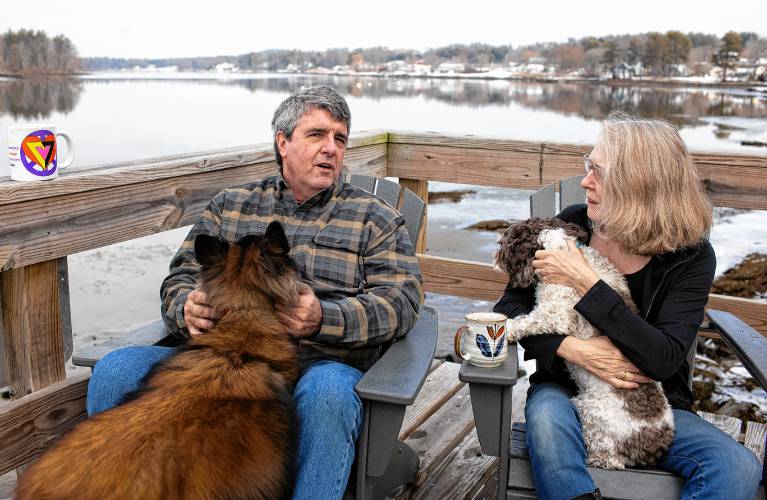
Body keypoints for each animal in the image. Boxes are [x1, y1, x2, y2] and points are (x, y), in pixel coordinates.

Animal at [498, 218, 672, 468]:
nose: (498, 262)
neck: (558, 247)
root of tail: (655, 445)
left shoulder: (558, 313)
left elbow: (528, 320)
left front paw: (509, 328)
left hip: (593, 410)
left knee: (611, 459)